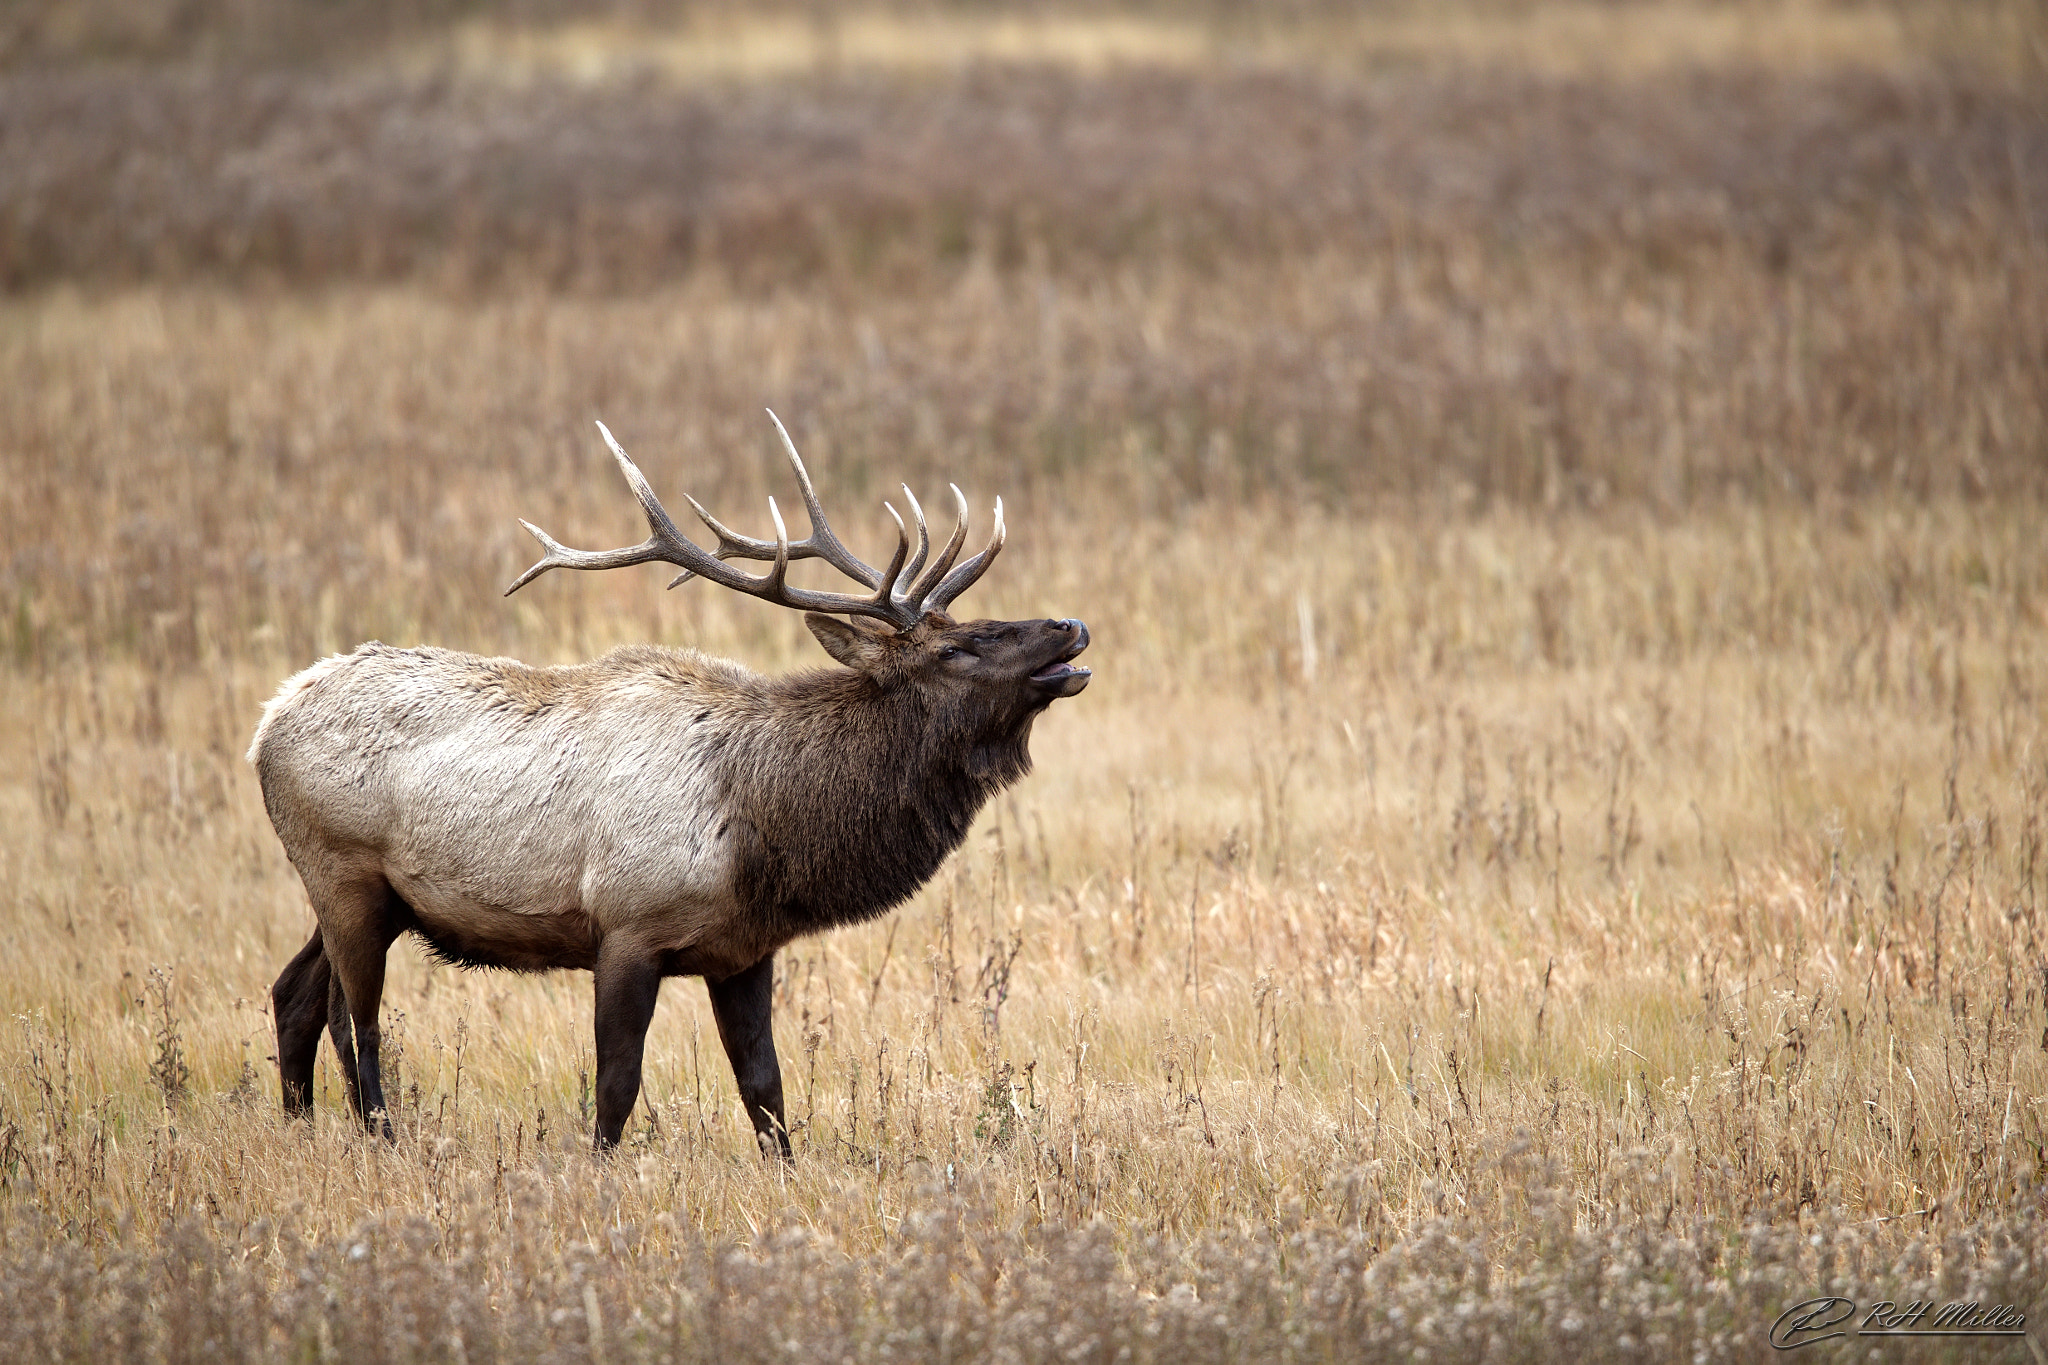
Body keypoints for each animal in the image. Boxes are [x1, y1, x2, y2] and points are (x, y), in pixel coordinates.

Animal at [249, 413, 1089, 1154]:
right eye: (959, 647)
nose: (1071, 626)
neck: (764, 828)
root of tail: (267, 723)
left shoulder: (745, 950)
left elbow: (765, 1089)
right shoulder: (628, 924)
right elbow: (617, 1086)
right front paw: (599, 1173)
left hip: (372, 897)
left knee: (294, 992)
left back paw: (299, 1129)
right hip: (341, 869)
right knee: (354, 1020)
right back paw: (380, 1140)